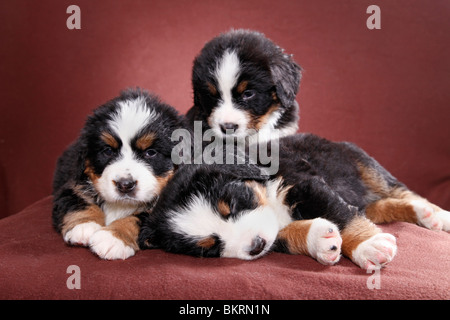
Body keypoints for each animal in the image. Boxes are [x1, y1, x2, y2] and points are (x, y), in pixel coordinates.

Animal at [51, 88, 181, 260]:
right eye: (108, 151)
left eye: (151, 153)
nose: (125, 185)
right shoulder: (72, 182)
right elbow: (77, 200)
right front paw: (85, 225)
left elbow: (138, 219)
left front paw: (113, 237)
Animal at [138, 134, 450, 268]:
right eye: (209, 247)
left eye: (233, 204)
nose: (255, 246)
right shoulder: (273, 232)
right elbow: (285, 236)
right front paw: (321, 240)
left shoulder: (303, 182)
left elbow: (339, 212)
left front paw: (368, 246)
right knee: (379, 207)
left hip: (363, 164)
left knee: (399, 190)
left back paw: (436, 215)